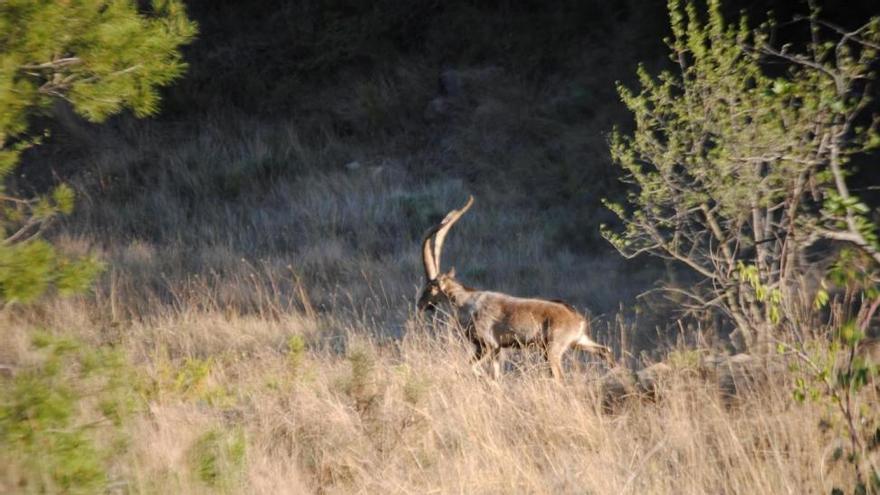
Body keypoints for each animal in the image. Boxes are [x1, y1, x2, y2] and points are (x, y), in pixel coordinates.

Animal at [418, 196, 612, 378]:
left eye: (431, 286)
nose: (421, 305)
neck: (469, 302)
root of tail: (578, 319)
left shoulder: (488, 345)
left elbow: (473, 369)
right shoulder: (497, 350)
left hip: (553, 350)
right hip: (579, 342)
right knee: (605, 350)